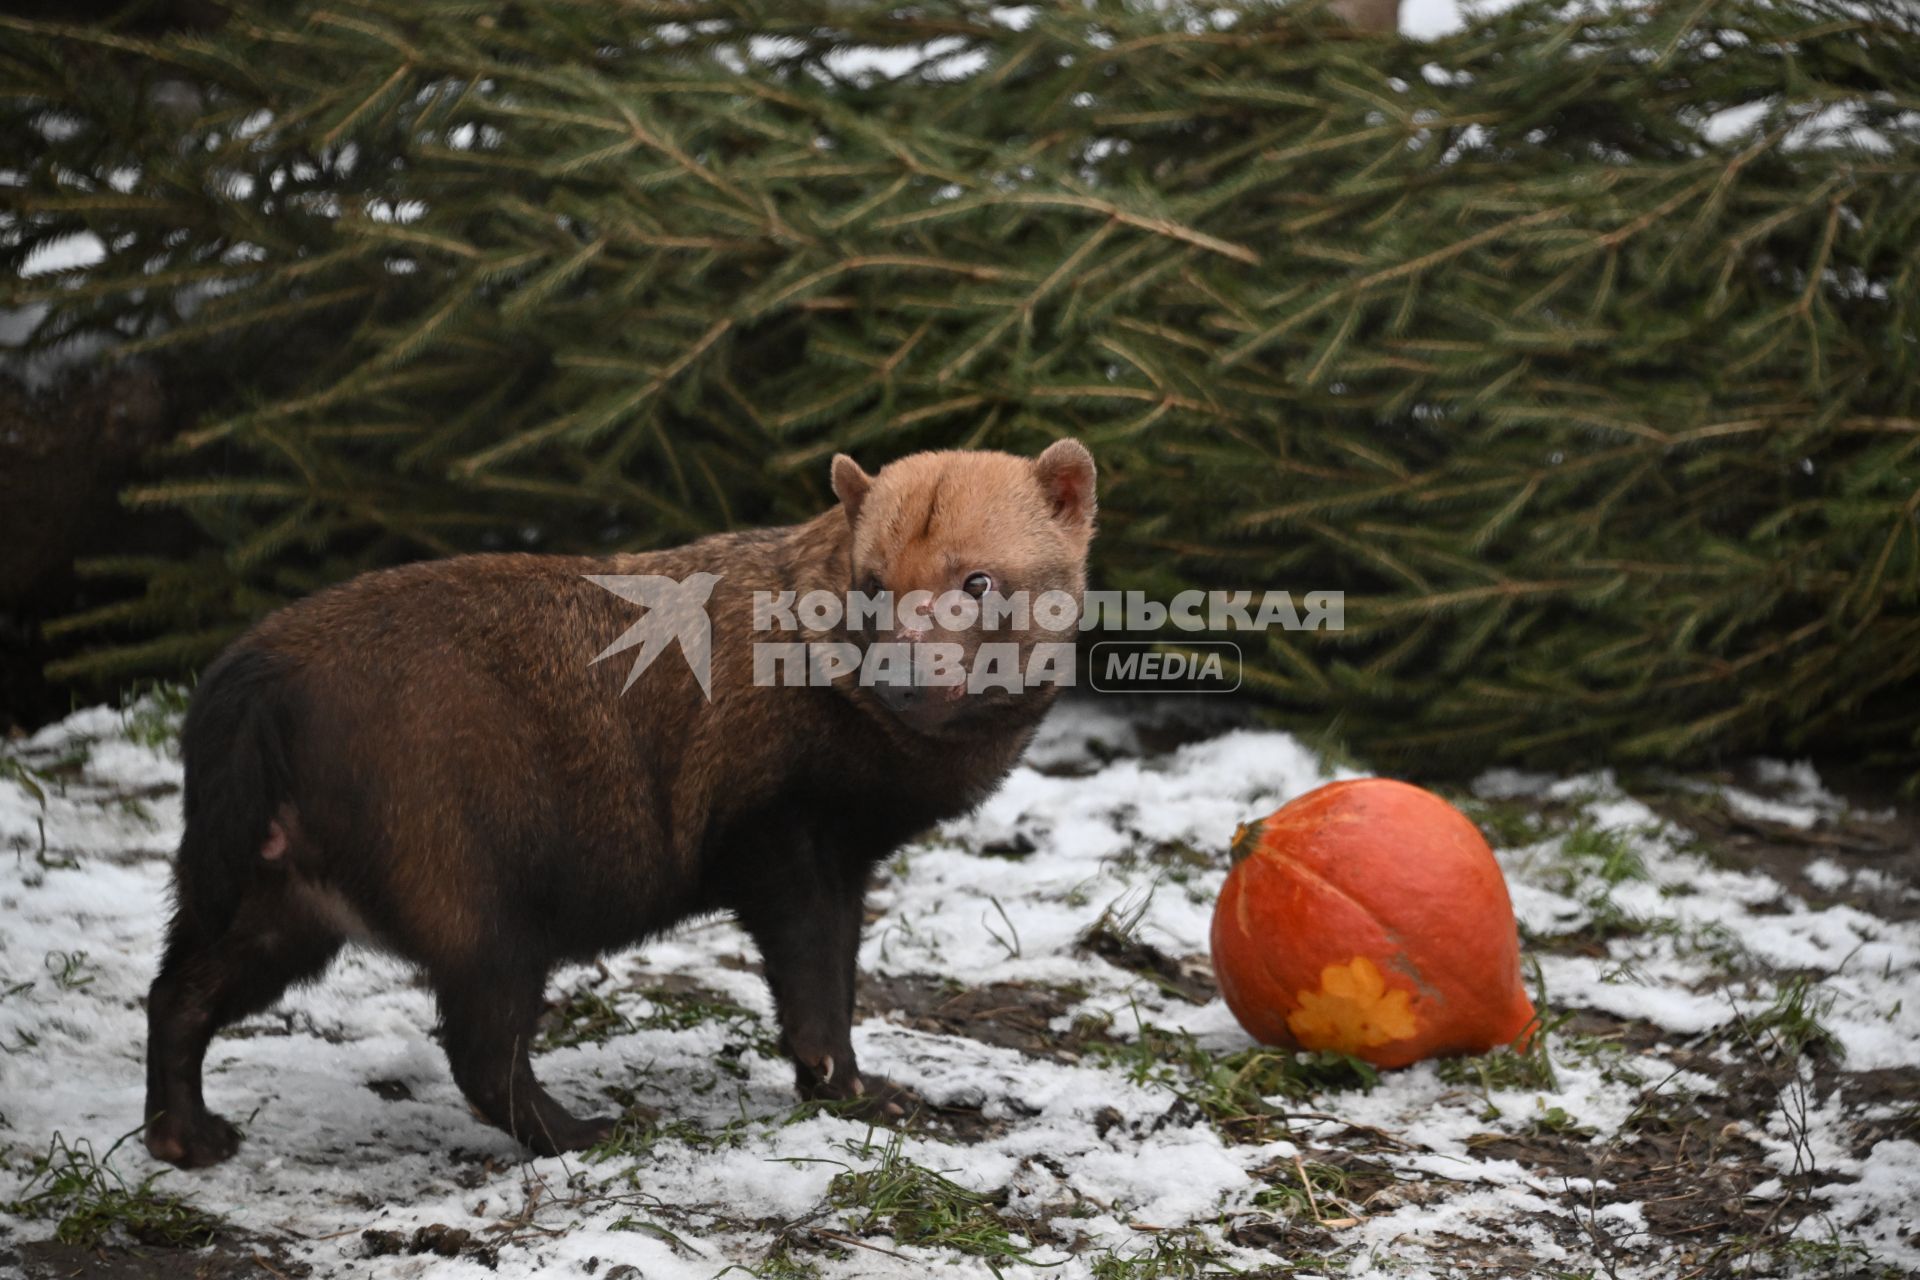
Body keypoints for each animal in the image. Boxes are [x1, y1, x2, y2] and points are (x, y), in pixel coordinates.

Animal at [140, 441, 1098, 1174]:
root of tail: (257, 676)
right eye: (869, 582)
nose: (899, 667)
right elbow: (815, 991)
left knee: (174, 994)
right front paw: (860, 1094)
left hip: (274, 896)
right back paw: (585, 1132)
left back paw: (185, 1138)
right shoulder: (782, 843)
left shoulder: (843, 862)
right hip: (479, 908)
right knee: (481, 1054)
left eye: (978, 581)